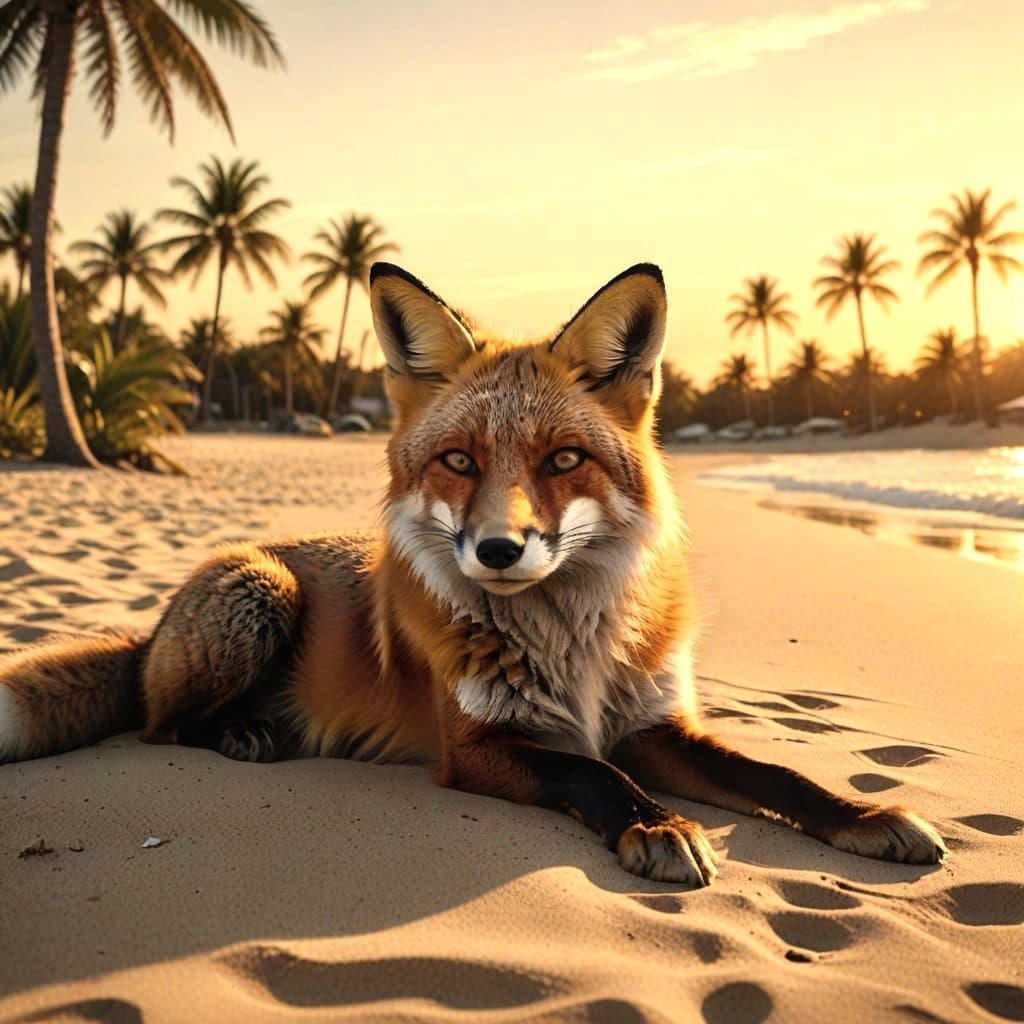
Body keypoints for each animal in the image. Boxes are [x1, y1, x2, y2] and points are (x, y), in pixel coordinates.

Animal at [0, 262, 946, 885]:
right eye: (458, 460)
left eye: (564, 459)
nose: (498, 550)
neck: (574, 651)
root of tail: (152, 623)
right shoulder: (479, 747)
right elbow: (596, 775)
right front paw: (656, 824)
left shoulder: (652, 725)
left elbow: (777, 775)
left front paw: (866, 815)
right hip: (259, 594)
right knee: (159, 727)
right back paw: (243, 734)